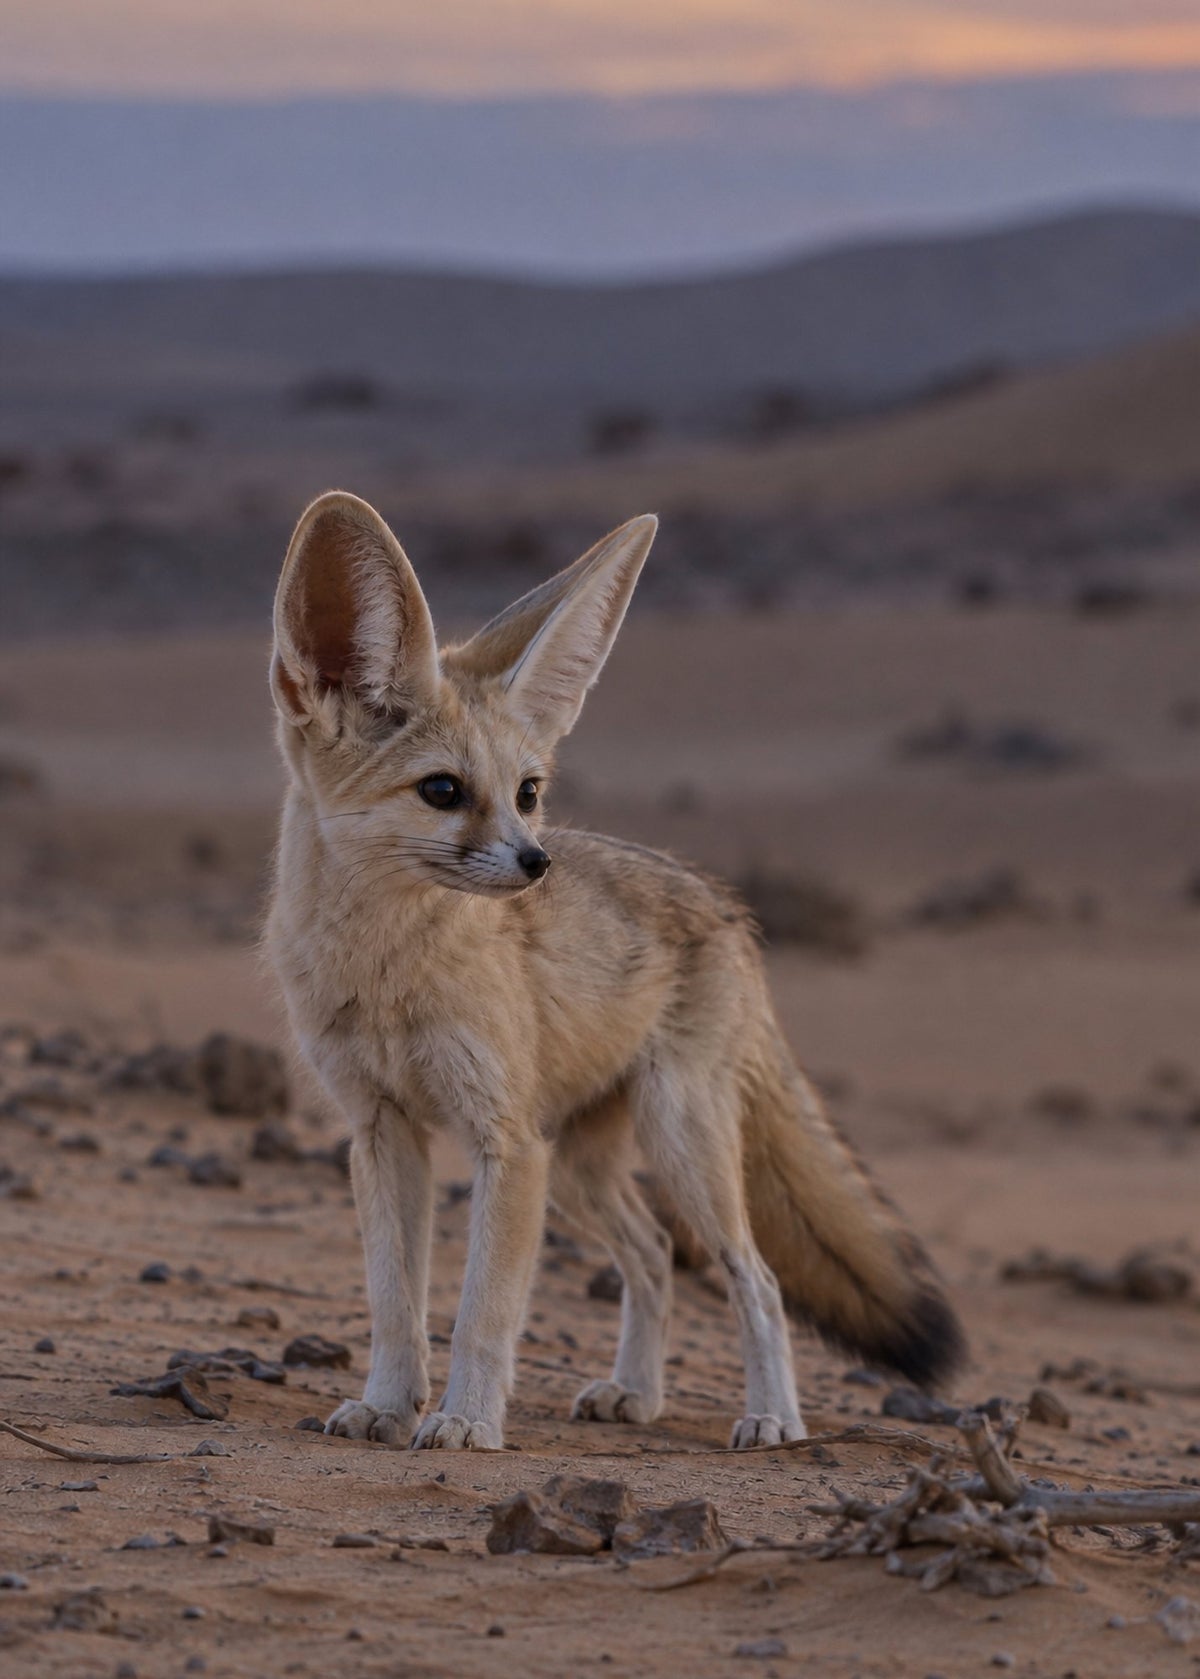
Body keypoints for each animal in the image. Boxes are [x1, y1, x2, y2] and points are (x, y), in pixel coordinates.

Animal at [265, 490, 966, 1451]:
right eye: (442, 791)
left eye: (527, 791)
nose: (536, 864)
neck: (387, 974)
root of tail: (725, 905)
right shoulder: (380, 1130)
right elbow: (393, 1302)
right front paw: (386, 1403)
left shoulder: (504, 1141)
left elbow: (484, 1309)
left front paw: (466, 1420)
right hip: (582, 1166)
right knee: (653, 1254)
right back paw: (637, 1391)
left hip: (675, 1143)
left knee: (756, 1277)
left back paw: (773, 1417)